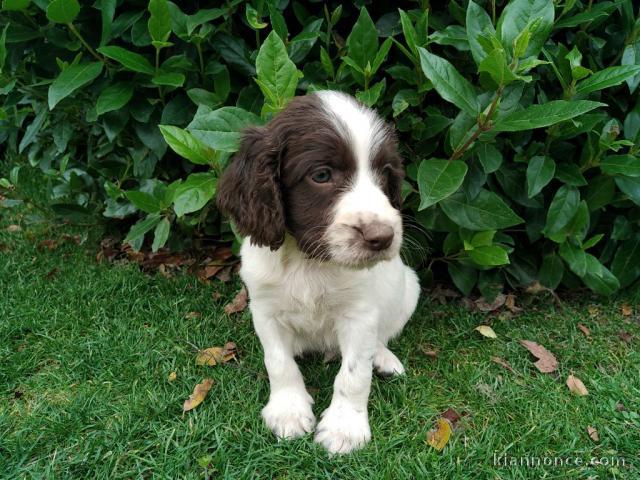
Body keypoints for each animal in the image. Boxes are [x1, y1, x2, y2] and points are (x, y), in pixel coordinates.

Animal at [218, 90, 422, 454]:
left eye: (385, 175)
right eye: (322, 175)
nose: (382, 238)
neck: (309, 261)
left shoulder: (360, 315)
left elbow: (354, 375)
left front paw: (345, 428)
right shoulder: (265, 309)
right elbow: (279, 363)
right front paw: (288, 412)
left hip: (409, 286)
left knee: (381, 336)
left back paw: (383, 358)